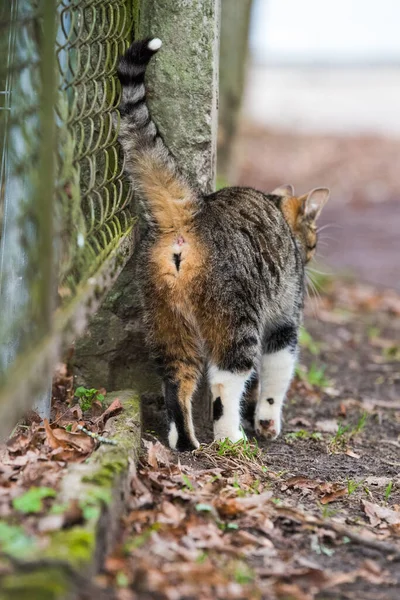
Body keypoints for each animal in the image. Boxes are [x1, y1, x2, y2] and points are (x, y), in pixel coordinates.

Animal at [116, 38, 328, 450]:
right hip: (236, 320)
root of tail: (193, 209)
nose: (310, 255)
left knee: (176, 381)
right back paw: (231, 438)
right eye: (313, 244)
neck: (278, 210)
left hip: (167, 319)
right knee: (223, 382)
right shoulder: (284, 322)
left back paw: (185, 441)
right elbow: (276, 379)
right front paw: (267, 423)